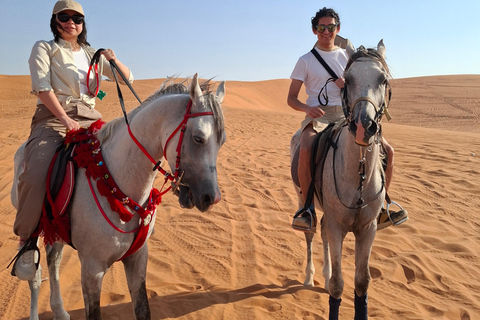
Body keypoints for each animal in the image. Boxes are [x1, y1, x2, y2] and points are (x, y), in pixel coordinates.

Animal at [10, 74, 226, 318]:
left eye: (222, 141)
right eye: (198, 138)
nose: (212, 197)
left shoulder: (137, 258)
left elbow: (143, 309)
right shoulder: (92, 269)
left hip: (55, 225)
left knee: (53, 259)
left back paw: (60, 310)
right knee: (34, 273)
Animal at [290, 40, 392, 320]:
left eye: (383, 79)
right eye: (348, 80)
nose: (363, 126)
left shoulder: (368, 228)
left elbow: (362, 282)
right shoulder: (338, 226)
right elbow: (338, 285)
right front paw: (328, 282)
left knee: (323, 230)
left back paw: (322, 277)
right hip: (303, 199)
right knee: (312, 232)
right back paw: (310, 277)